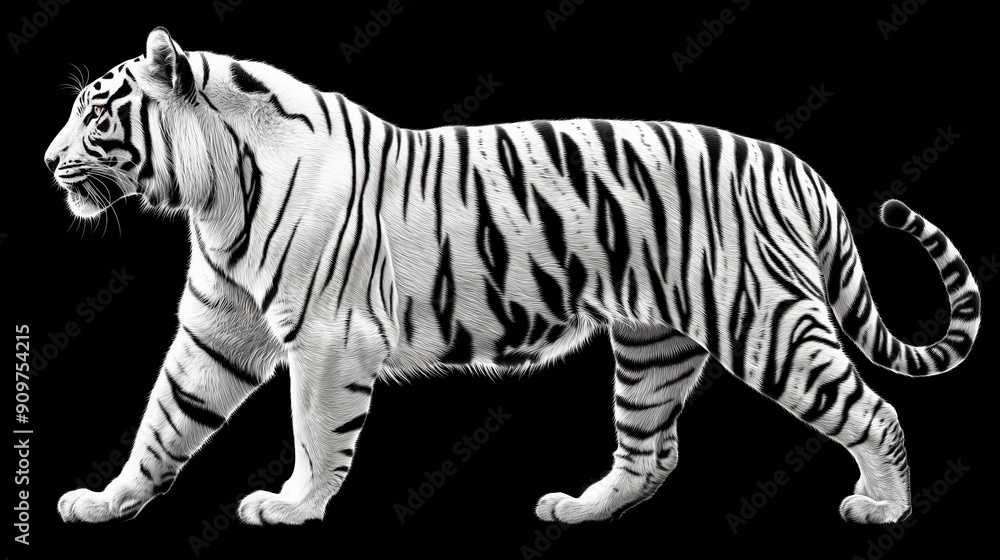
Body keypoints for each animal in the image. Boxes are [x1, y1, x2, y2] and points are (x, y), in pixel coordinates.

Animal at [44, 27, 981, 527]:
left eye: (95, 115)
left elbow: (314, 431)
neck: (212, 194)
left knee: (874, 411)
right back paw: (579, 508)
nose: (47, 160)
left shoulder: (329, 341)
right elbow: (165, 420)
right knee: (652, 451)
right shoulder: (217, 330)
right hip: (652, 346)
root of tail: (792, 162)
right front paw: (104, 501)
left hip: (767, 325)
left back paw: (883, 508)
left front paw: (293, 505)